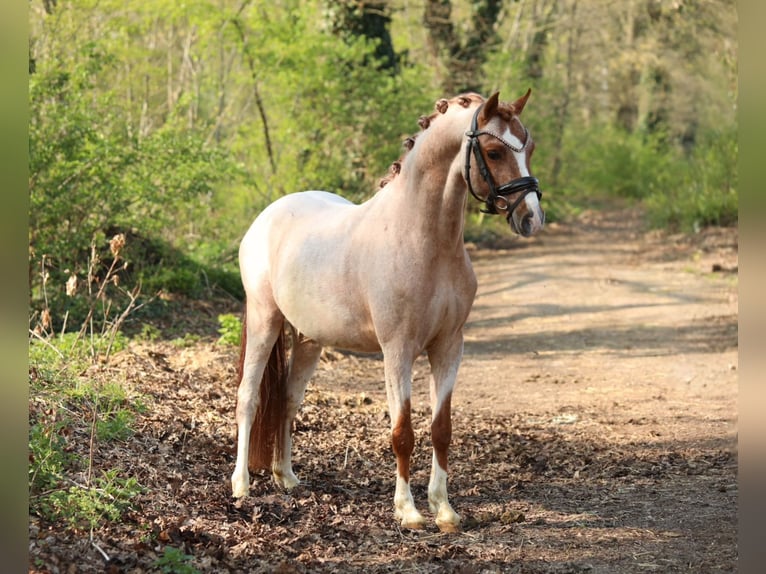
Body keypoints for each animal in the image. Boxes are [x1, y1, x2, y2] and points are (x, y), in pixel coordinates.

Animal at [230, 90, 545, 532]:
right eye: (495, 151)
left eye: (528, 149)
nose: (531, 218)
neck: (423, 239)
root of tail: (267, 216)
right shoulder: (398, 351)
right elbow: (402, 432)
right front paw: (408, 511)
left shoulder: (449, 347)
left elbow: (441, 428)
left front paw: (444, 510)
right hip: (265, 320)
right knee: (249, 396)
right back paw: (241, 484)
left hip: (309, 339)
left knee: (288, 400)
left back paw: (286, 476)